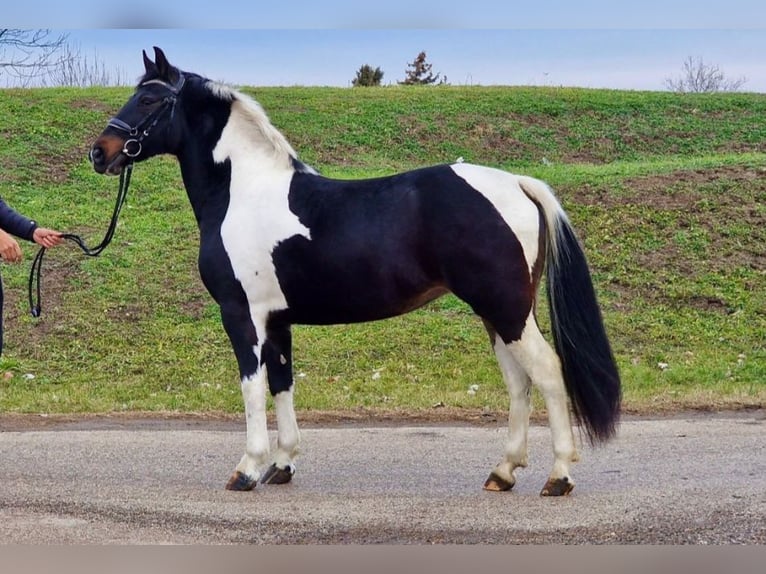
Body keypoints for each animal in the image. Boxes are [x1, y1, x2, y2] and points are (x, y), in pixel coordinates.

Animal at [88, 47, 624, 498]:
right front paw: (282, 465)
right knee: (519, 382)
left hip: (506, 310)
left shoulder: (242, 316)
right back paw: (503, 472)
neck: (242, 193)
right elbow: (282, 383)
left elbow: (251, 387)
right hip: (499, 314)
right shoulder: (277, 321)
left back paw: (558, 476)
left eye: (150, 98)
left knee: (548, 373)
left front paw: (248, 469)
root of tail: (516, 182)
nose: (100, 152)